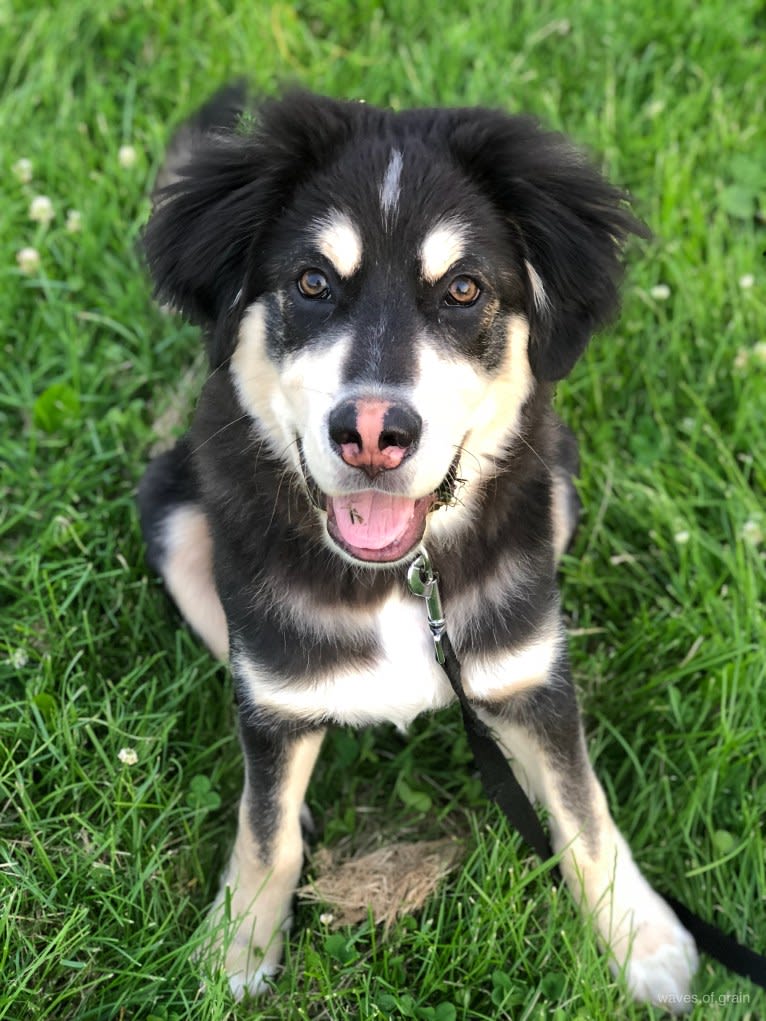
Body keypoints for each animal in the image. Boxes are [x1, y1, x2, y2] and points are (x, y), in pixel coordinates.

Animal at [137, 85, 702, 1004]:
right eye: (313, 281)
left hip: (560, 484)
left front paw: (645, 942)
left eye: (464, 289)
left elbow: (584, 809)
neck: (402, 577)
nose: (372, 432)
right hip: (174, 513)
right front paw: (234, 948)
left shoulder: (528, 669)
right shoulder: (272, 686)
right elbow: (265, 828)